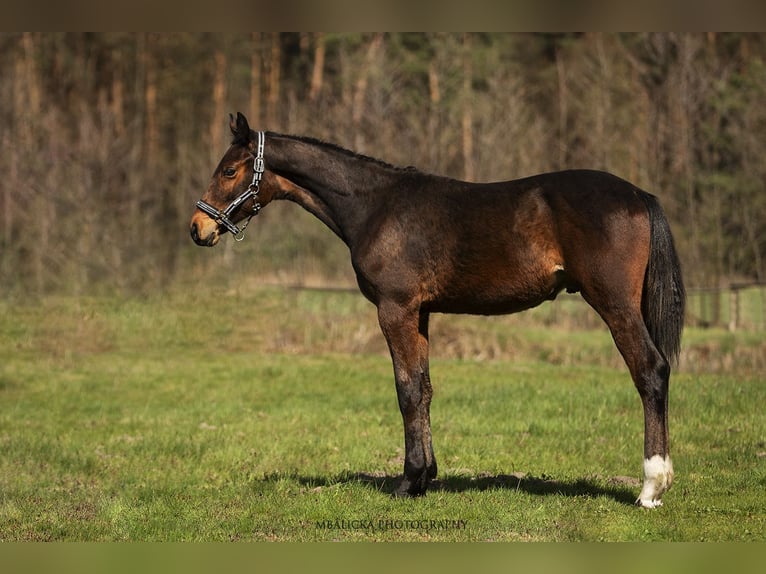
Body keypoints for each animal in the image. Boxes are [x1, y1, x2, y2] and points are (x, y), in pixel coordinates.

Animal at [189, 111, 688, 508]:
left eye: (230, 170)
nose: (198, 228)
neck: (376, 206)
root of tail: (639, 195)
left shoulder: (394, 310)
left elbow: (406, 390)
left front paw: (407, 482)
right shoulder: (421, 313)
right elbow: (425, 389)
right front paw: (426, 477)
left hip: (614, 304)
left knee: (650, 371)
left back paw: (651, 488)